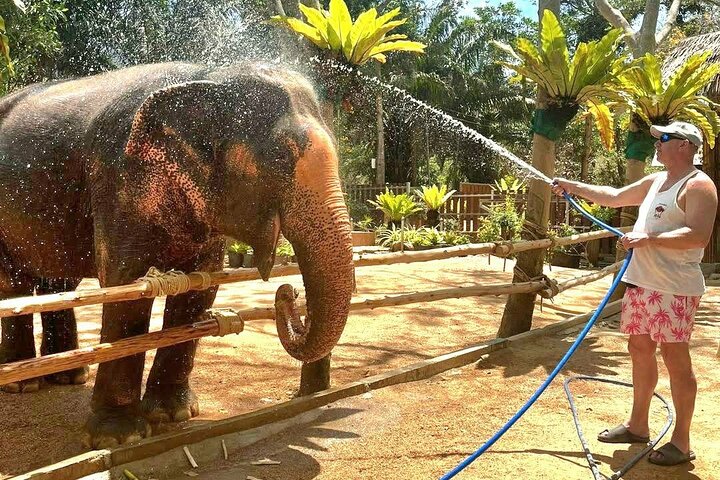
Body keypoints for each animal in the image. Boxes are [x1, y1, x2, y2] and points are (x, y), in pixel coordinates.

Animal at [0, 62, 354, 448]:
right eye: (280, 158)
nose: (288, 292)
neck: (207, 77)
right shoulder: (118, 179)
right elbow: (125, 286)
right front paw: (117, 437)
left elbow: (200, 288)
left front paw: (174, 415)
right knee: (14, 284)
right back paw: (23, 383)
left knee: (58, 282)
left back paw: (68, 377)